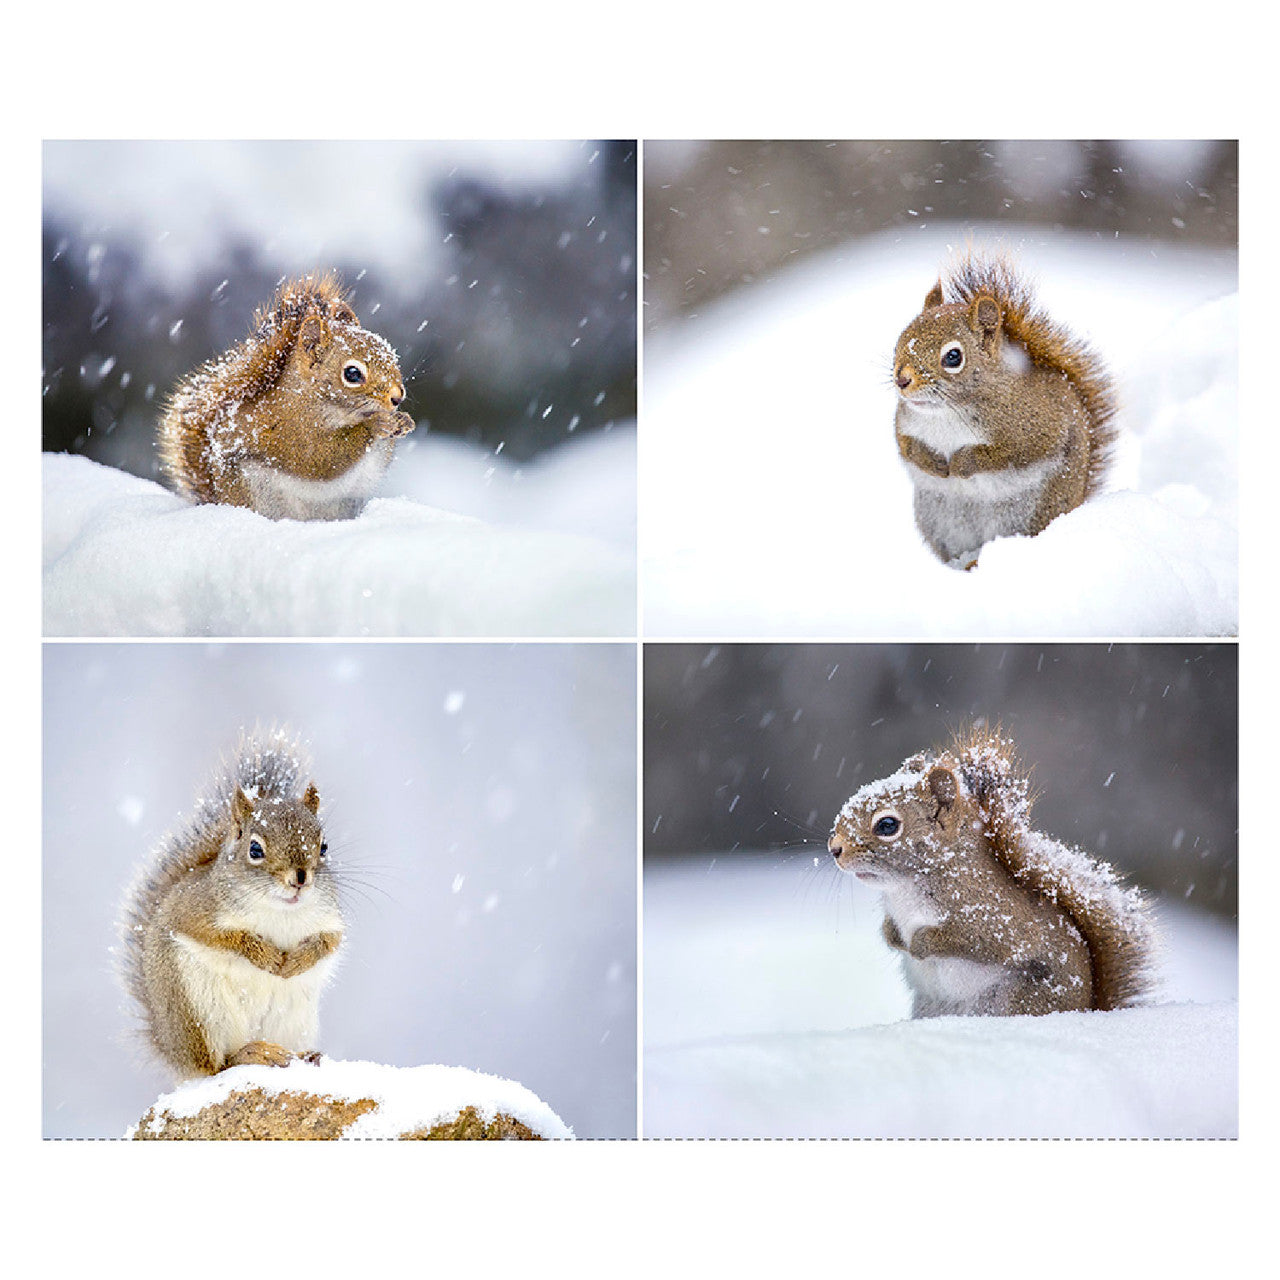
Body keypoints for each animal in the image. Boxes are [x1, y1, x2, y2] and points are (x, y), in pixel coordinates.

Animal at [120, 728, 344, 1078]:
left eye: (324, 847)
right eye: (255, 849)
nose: (299, 878)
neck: (281, 910)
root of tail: (171, 1048)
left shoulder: (330, 920)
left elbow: (329, 942)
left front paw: (297, 960)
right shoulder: (194, 911)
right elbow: (225, 937)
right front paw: (265, 955)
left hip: (295, 1020)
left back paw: (304, 1055)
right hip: (199, 1013)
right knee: (217, 1065)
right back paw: (253, 1053)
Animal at [157, 271, 415, 521]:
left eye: (392, 358)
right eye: (352, 373)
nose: (397, 397)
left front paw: (403, 421)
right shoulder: (293, 431)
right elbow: (320, 459)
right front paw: (376, 424)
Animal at [828, 727, 1155, 1018]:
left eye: (887, 825)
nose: (834, 848)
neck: (905, 887)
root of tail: (1088, 1007)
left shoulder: (993, 919)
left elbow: (976, 941)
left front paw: (920, 943)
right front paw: (892, 936)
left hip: (1020, 999)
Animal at [892, 250, 1116, 568]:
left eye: (953, 357)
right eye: (901, 338)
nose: (901, 380)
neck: (945, 411)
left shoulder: (1035, 429)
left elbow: (1006, 454)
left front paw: (960, 463)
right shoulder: (904, 421)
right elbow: (906, 446)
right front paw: (933, 462)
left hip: (1025, 514)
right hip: (941, 518)